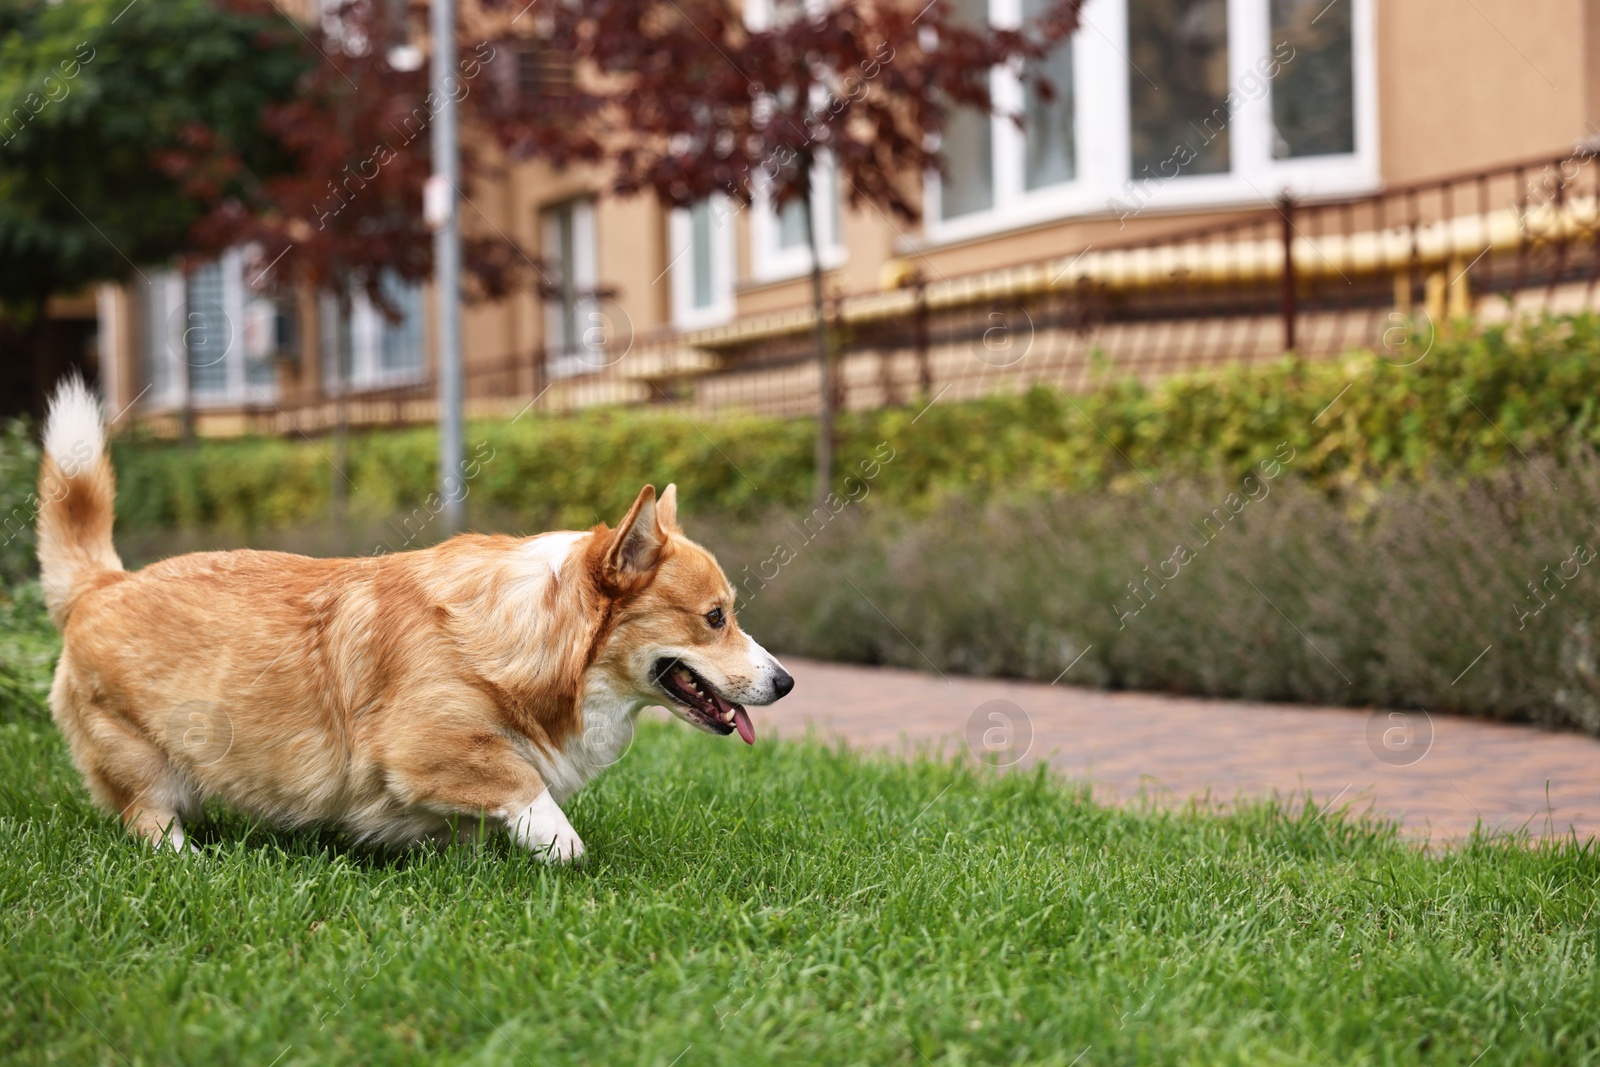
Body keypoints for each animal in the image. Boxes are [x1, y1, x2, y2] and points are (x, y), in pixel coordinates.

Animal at [43, 379, 800, 863]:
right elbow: (524, 787)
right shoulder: (422, 746)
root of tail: (102, 584)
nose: (788, 682)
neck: (533, 638)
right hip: (144, 760)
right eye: (715, 617)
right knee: (147, 819)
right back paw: (190, 863)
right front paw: (561, 846)